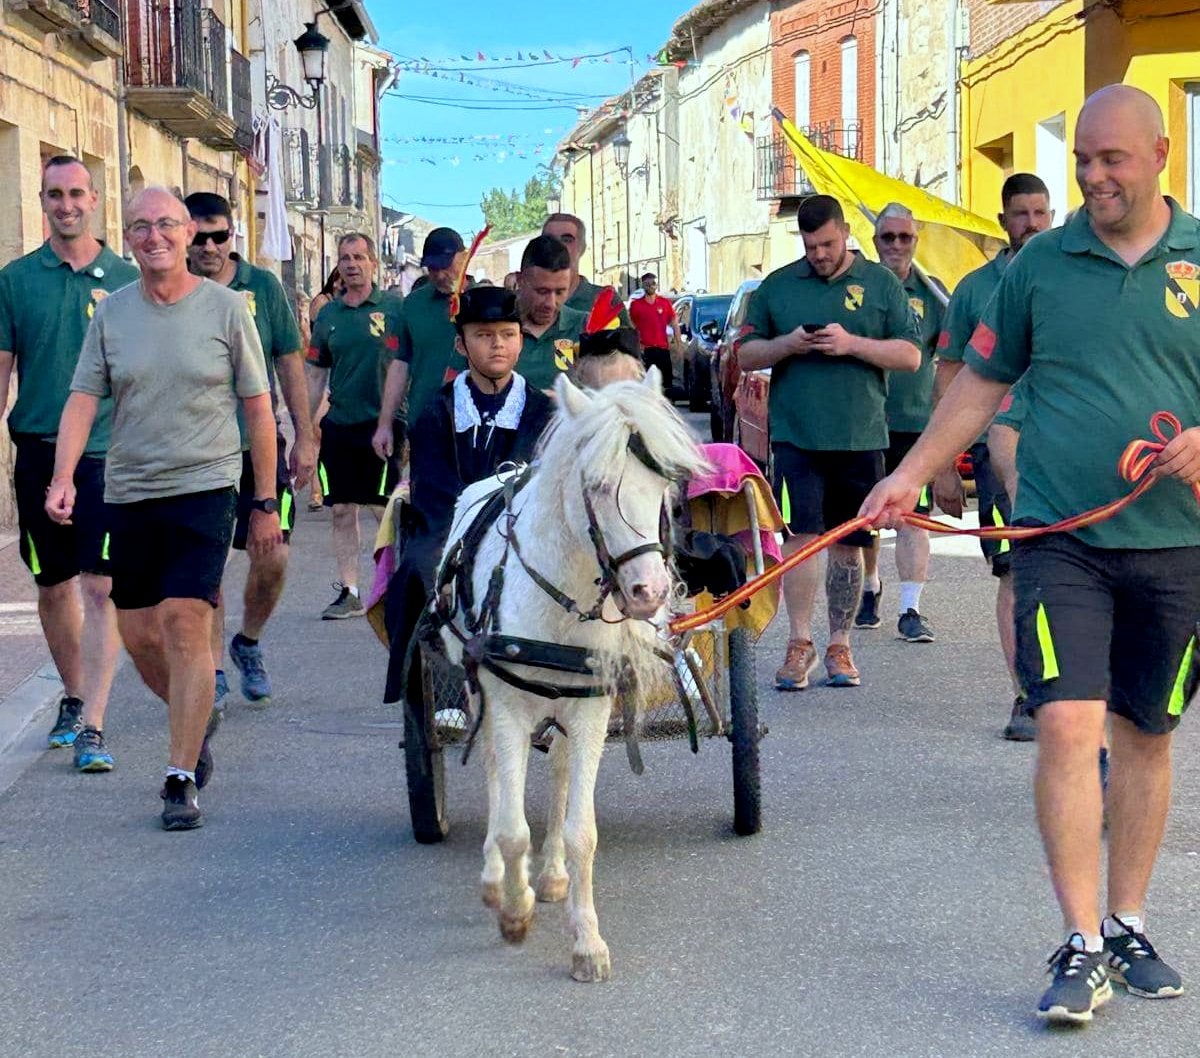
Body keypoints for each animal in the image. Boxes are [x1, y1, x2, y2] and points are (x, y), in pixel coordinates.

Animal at [439, 367, 700, 978]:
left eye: (661, 487)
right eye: (599, 487)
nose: (650, 592)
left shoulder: (590, 711)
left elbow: (582, 830)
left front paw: (586, 941)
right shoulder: (507, 707)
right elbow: (513, 829)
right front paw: (514, 912)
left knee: (557, 773)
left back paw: (553, 874)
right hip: (482, 691)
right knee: (494, 772)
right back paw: (497, 879)